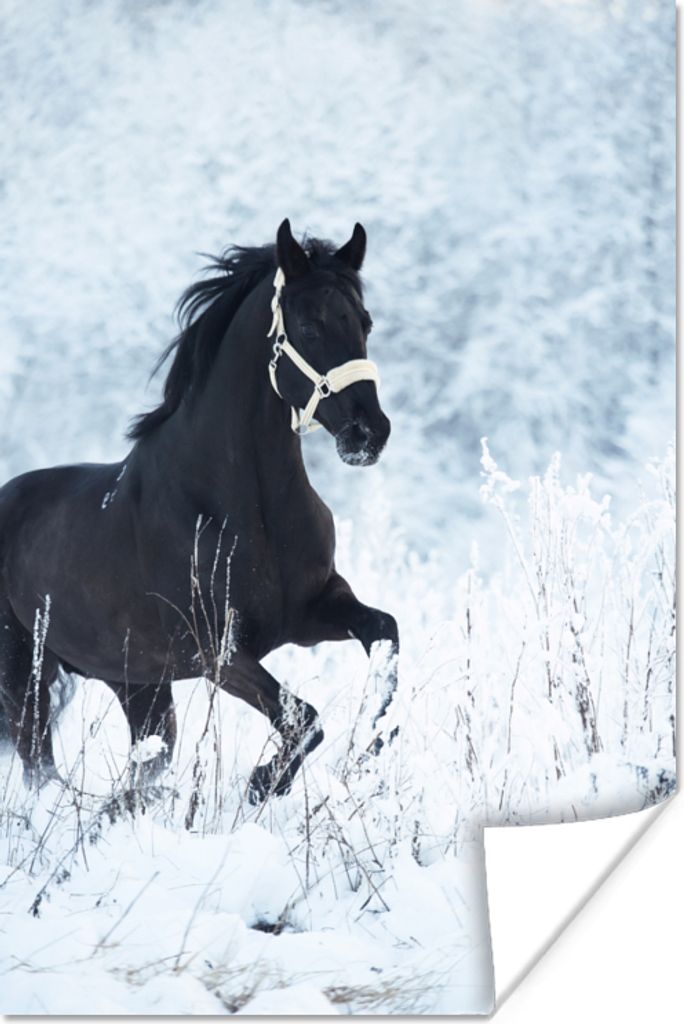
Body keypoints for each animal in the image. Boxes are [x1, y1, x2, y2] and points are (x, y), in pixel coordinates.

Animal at [0, 219, 398, 802]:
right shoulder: (217, 652)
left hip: (138, 686)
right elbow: (303, 719)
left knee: (143, 762)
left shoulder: (315, 610)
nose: (369, 433)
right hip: (25, 677)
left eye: (364, 321)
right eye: (309, 325)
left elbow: (385, 635)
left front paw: (370, 747)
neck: (246, 507)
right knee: (40, 768)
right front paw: (261, 783)